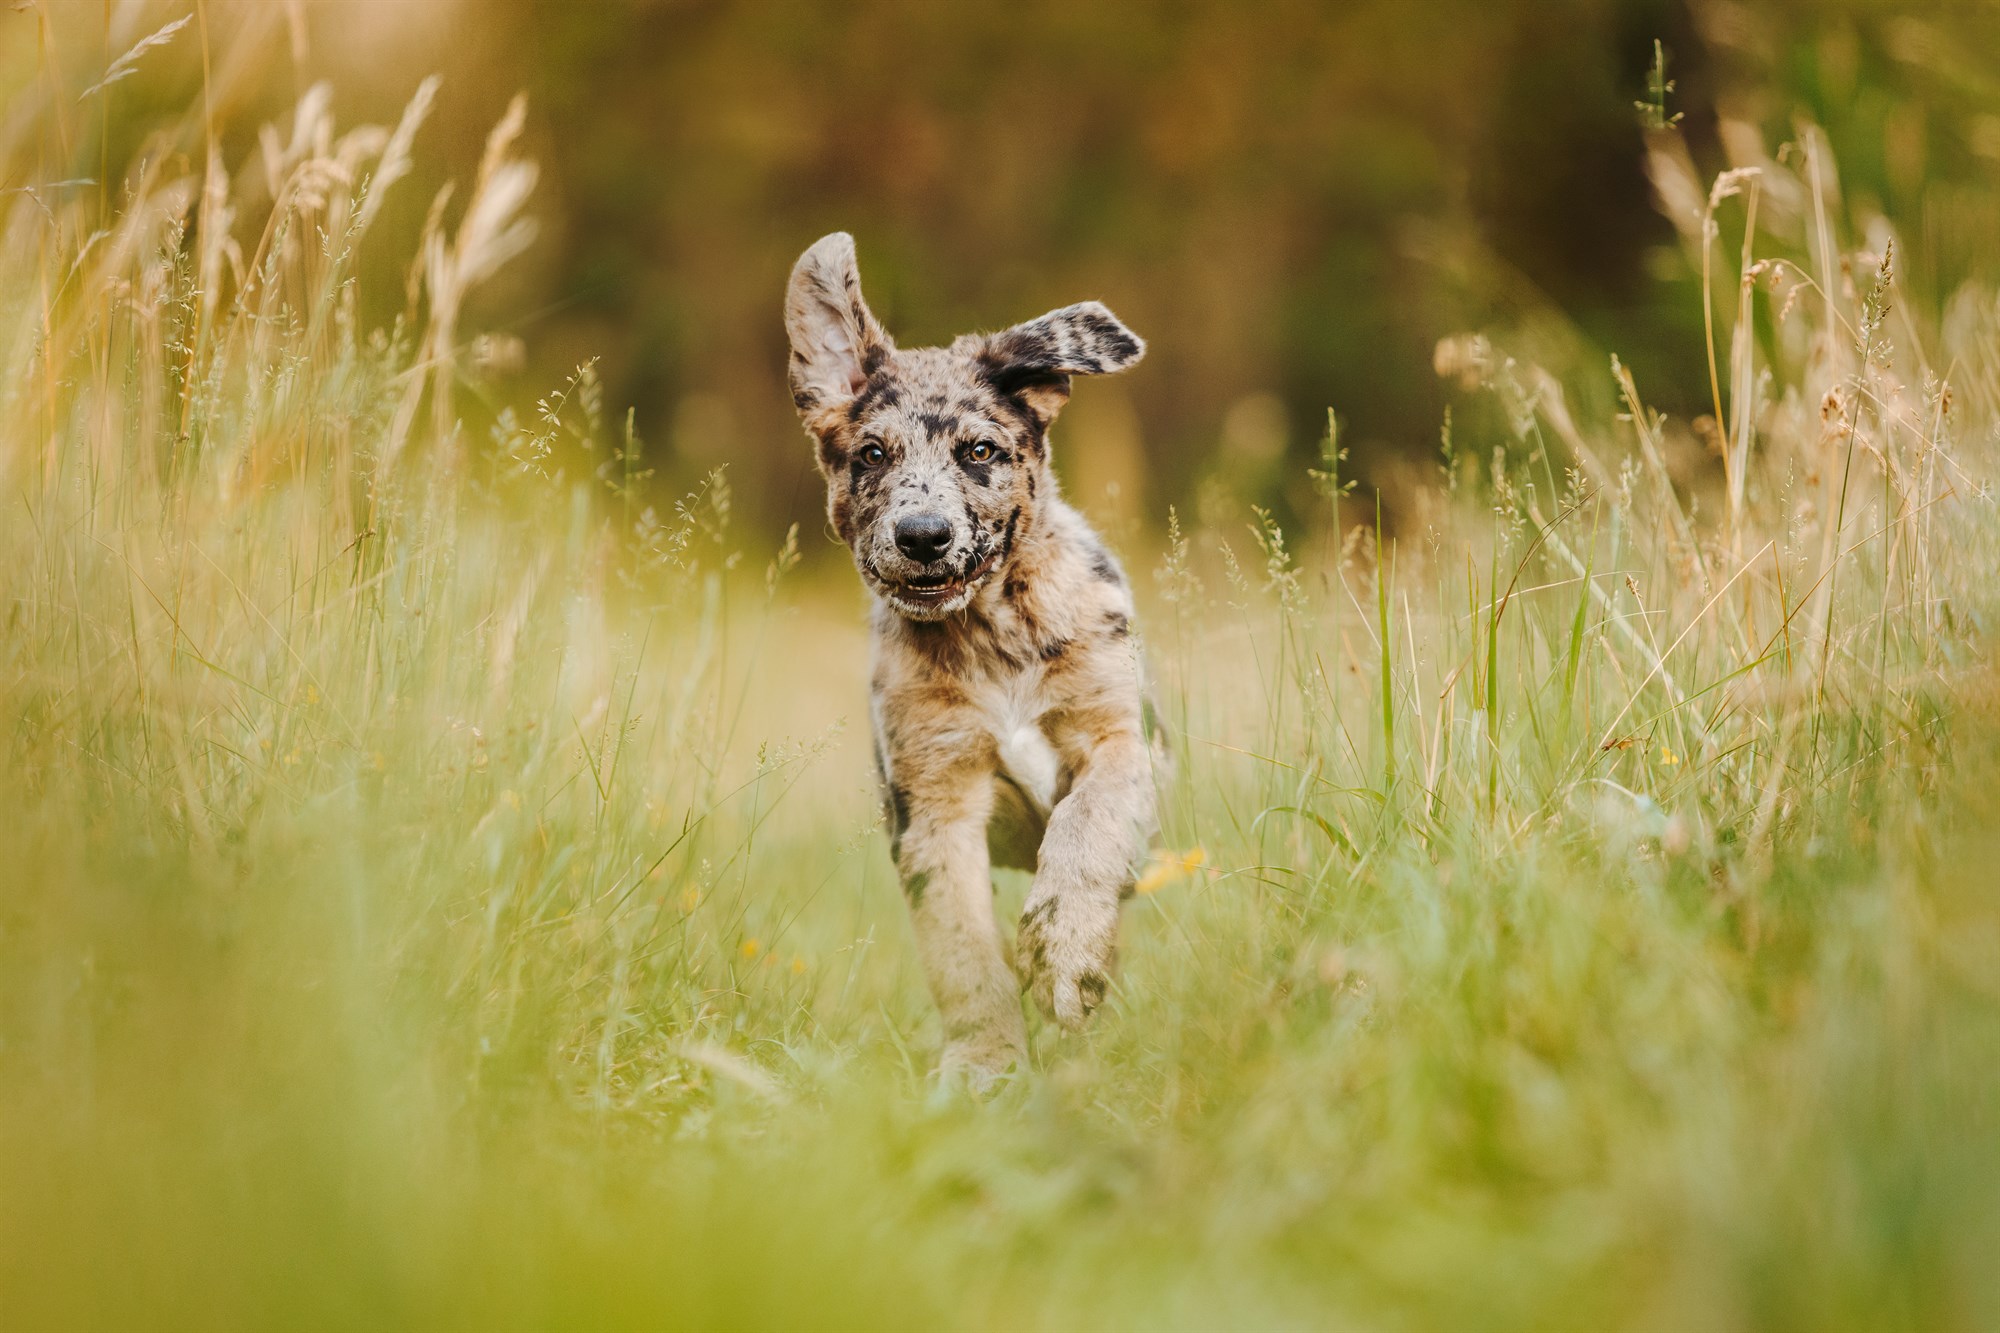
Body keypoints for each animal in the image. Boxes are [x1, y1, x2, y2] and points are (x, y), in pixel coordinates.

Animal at [776, 231, 1160, 1080]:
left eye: (980, 450)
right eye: (872, 454)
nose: (923, 535)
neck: (992, 637)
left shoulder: (1118, 738)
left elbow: (1088, 824)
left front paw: (1064, 951)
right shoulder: (934, 804)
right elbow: (963, 952)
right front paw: (987, 1061)